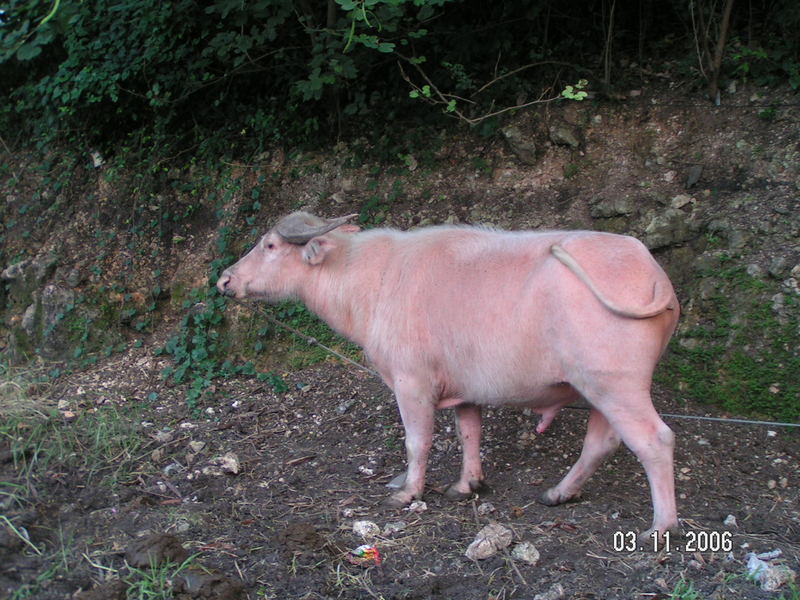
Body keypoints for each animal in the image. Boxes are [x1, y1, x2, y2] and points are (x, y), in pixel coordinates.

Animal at [219, 212, 680, 540]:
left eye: (270, 244)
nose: (224, 279)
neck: (373, 279)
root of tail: (652, 272)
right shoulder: (464, 388)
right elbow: (469, 432)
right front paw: (467, 484)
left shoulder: (411, 382)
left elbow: (417, 441)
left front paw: (409, 492)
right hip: (599, 390)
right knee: (602, 442)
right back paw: (559, 493)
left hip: (618, 386)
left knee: (655, 441)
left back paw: (660, 527)